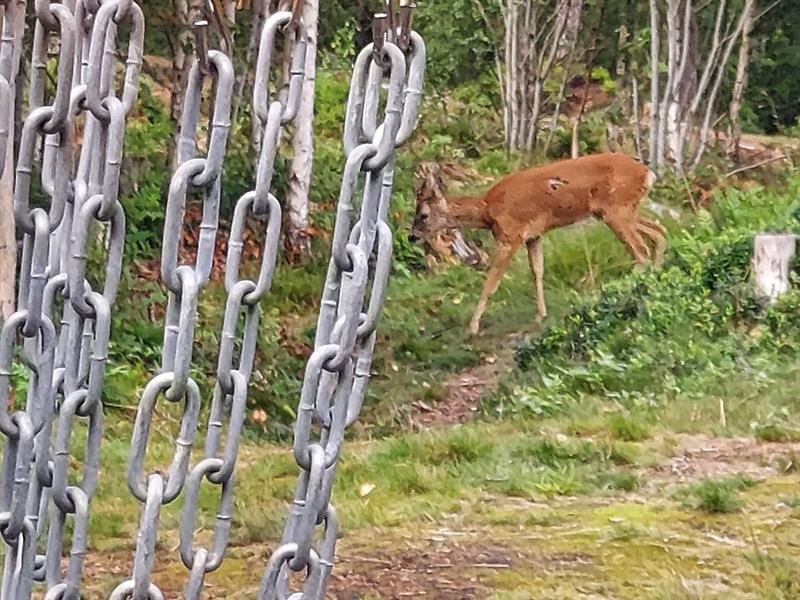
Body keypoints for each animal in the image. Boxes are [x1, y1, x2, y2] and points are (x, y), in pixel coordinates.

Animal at [410, 152, 664, 336]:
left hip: (616, 209)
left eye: (423, 215)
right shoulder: (534, 236)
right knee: (659, 233)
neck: (487, 211)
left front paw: (472, 328)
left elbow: (491, 282)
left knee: (641, 251)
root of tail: (648, 173)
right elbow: (538, 272)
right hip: (619, 210)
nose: (412, 236)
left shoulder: (510, 236)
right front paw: (540, 315)